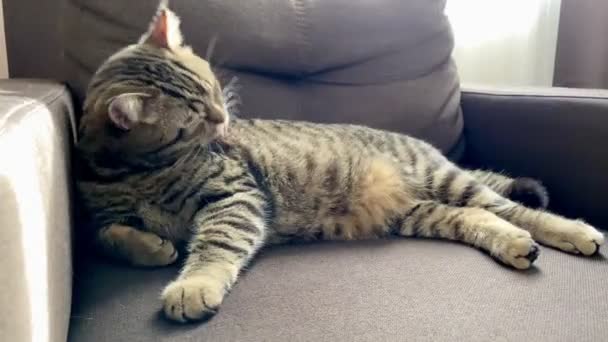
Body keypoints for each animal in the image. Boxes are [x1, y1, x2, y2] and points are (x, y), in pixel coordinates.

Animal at [77, 2, 604, 324]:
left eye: (211, 87)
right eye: (192, 118)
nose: (224, 117)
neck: (140, 175)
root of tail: (427, 146)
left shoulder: (235, 196)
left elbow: (214, 246)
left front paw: (193, 283)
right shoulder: (103, 215)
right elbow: (107, 236)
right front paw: (149, 245)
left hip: (446, 181)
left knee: (517, 209)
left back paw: (574, 233)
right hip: (420, 213)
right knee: (480, 218)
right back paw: (515, 245)